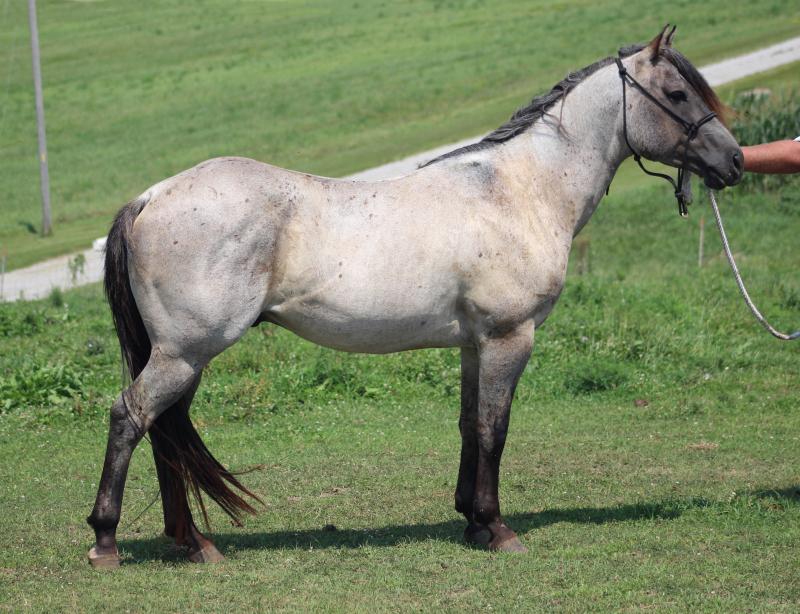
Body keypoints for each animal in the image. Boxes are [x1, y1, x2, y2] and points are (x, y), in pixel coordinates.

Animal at [87, 26, 742, 568]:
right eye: (678, 94)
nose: (734, 161)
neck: (517, 190)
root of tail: (150, 197)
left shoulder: (475, 345)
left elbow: (469, 425)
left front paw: (472, 522)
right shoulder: (509, 338)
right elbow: (495, 429)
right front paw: (498, 529)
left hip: (183, 357)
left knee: (164, 429)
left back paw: (193, 543)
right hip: (185, 353)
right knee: (132, 417)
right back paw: (106, 541)